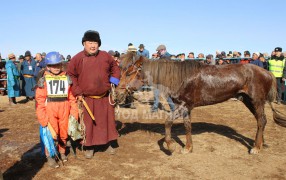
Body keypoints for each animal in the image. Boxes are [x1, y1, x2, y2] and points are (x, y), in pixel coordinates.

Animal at [116, 56, 286, 155]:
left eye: (129, 73)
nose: (117, 93)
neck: (181, 78)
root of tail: (267, 73)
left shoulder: (184, 106)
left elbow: (167, 122)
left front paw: (171, 146)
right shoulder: (186, 108)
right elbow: (187, 126)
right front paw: (188, 148)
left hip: (256, 101)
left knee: (261, 120)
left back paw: (256, 148)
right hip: (248, 101)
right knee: (260, 120)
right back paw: (260, 144)